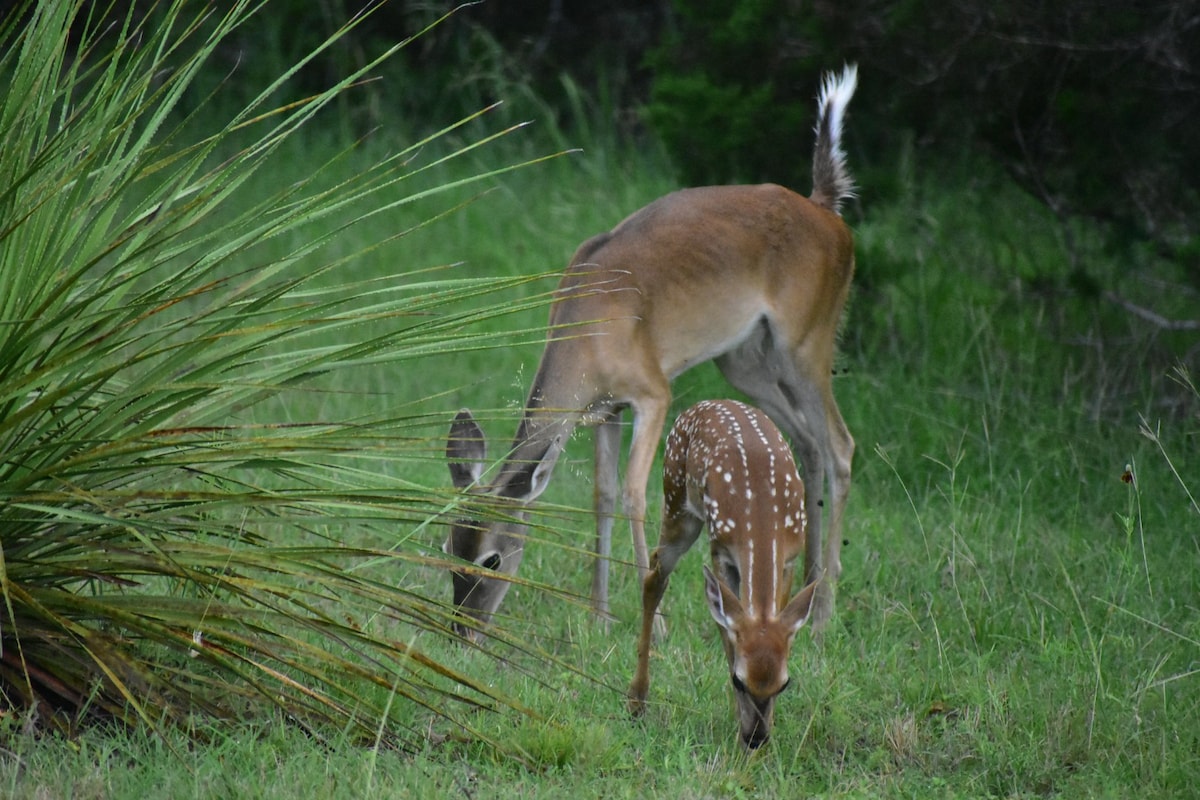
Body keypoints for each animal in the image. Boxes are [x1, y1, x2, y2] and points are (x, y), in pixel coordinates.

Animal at [446, 62, 859, 642]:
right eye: (446, 549)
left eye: (492, 559)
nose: (462, 632)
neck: (585, 337)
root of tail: (829, 213)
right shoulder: (604, 410)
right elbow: (601, 497)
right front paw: (597, 614)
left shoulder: (652, 392)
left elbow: (635, 495)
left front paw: (655, 622)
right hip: (745, 360)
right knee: (809, 445)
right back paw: (799, 590)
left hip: (808, 339)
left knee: (841, 445)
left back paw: (822, 613)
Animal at [628, 400, 816, 753]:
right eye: (738, 681)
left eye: (784, 684)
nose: (756, 738)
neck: (762, 519)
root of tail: (706, 403)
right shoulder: (720, 550)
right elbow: (727, 633)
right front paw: (738, 728)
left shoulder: (790, 558)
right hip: (677, 499)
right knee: (654, 576)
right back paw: (637, 700)